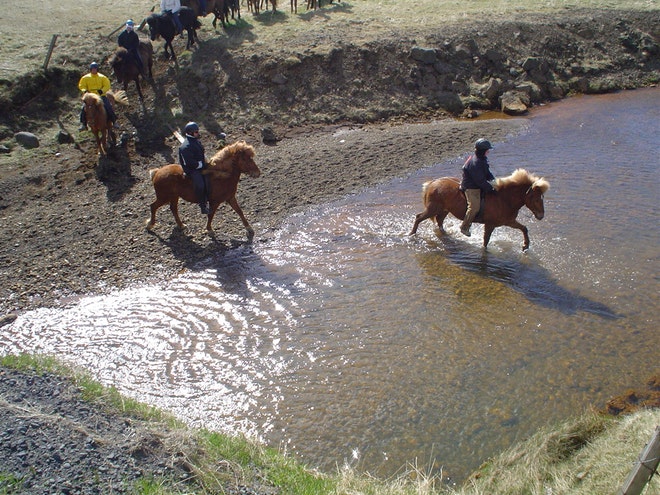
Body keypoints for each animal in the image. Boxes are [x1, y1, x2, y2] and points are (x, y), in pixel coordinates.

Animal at [410, 170, 548, 252]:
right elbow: (486, 241)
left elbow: (524, 228)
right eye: (536, 198)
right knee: (419, 217)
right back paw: (411, 234)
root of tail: (432, 183)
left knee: (439, 221)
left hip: (444, 210)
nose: (541, 216)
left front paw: (525, 246)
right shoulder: (490, 224)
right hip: (433, 209)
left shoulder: (508, 221)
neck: (504, 199)